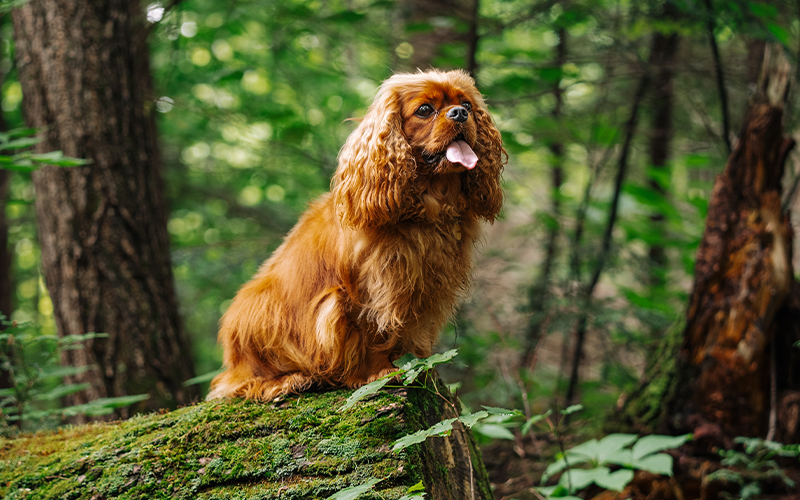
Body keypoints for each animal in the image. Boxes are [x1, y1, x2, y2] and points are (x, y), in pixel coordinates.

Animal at [208, 68, 506, 400]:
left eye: (467, 105)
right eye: (425, 110)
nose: (459, 113)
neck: (426, 207)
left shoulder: (426, 287)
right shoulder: (364, 289)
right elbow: (371, 333)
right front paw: (378, 373)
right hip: (259, 311)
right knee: (239, 383)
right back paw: (287, 381)